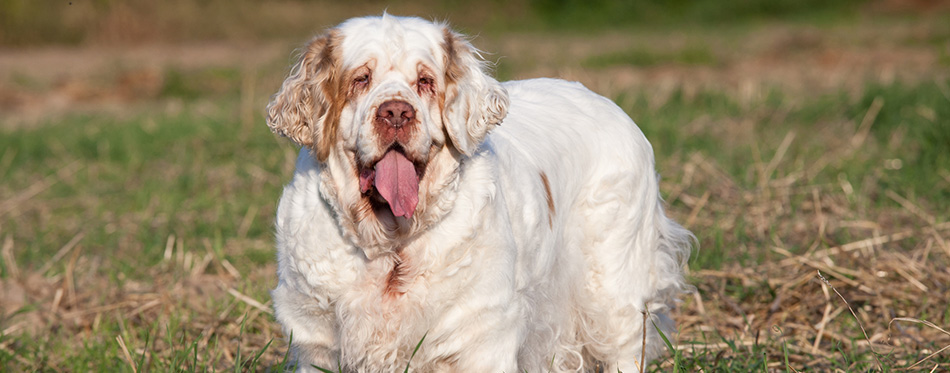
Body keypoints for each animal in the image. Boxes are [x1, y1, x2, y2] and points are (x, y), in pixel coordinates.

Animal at [266, 14, 692, 372]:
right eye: (360, 79)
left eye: (425, 81)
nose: (396, 113)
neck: (393, 247)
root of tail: (609, 104)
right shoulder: (319, 340)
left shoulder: (478, 333)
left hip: (612, 286)